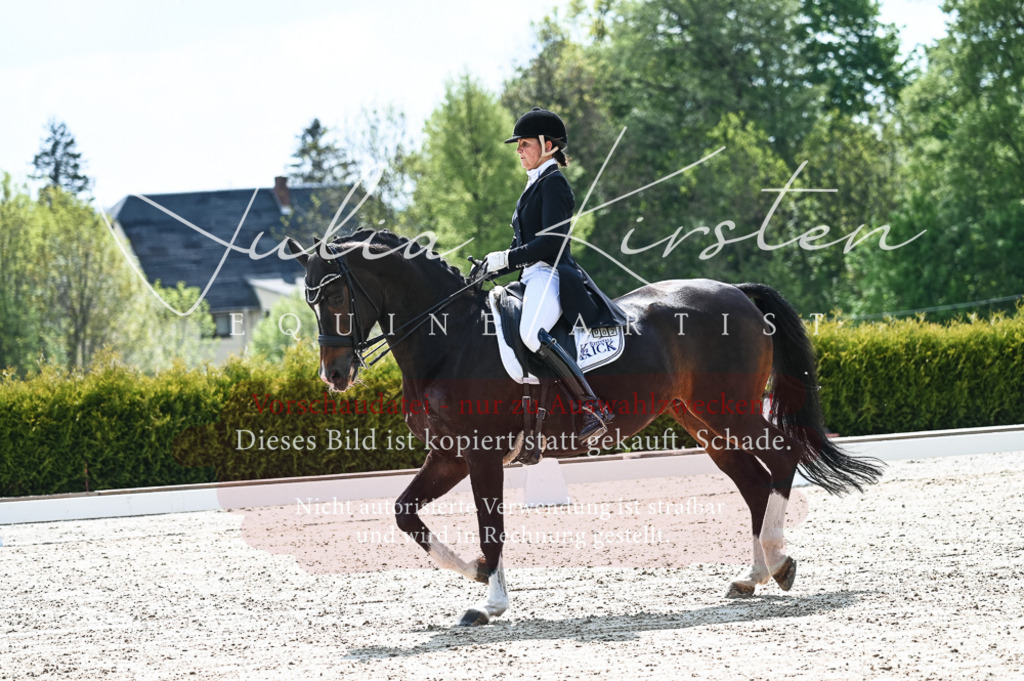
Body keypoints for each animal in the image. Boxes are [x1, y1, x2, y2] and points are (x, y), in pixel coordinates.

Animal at [286, 229, 883, 626]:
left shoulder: (481, 454)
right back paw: (752, 576)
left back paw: (779, 561)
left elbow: (490, 524)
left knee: (781, 459)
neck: (449, 340)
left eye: (334, 294)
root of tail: (735, 291)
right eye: (309, 297)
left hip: (729, 410)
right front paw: (476, 574)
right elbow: (405, 513)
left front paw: (489, 600)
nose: (335, 375)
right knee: (755, 484)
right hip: (702, 421)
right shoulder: (449, 455)